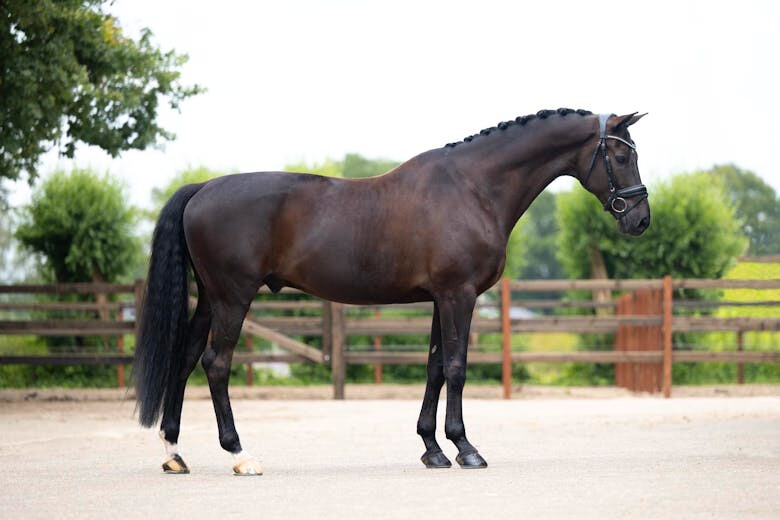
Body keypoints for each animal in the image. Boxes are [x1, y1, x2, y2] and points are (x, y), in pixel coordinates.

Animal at [133, 108, 649, 476]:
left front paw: (432, 449)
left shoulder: (442, 298)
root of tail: (203, 188)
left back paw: (174, 453)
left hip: (210, 298)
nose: (640, 220)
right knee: (216, 364)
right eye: (623, 157)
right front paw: (466, 449)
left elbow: (436, 367)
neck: (472, 187)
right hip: (234, 298)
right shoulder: (459, 295)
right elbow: (457, 368)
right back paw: (240, 455)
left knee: (185, 359)